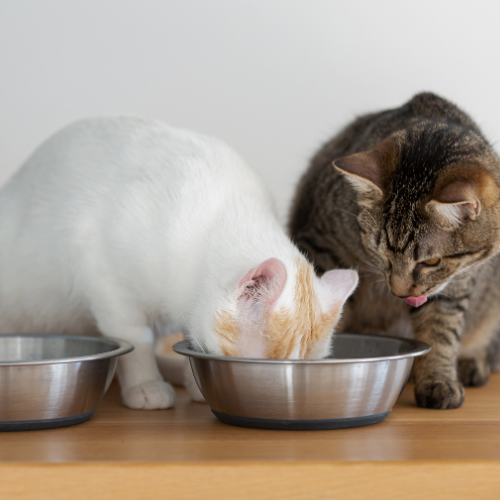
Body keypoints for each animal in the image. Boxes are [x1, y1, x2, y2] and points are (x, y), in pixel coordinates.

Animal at [292, 92, 500, 408]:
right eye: (380, 251)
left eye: (431, 261)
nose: (400, 293)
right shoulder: (319, 245)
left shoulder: (455, 283)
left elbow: (442, 330)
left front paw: (438, 379)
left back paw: (472, 363)